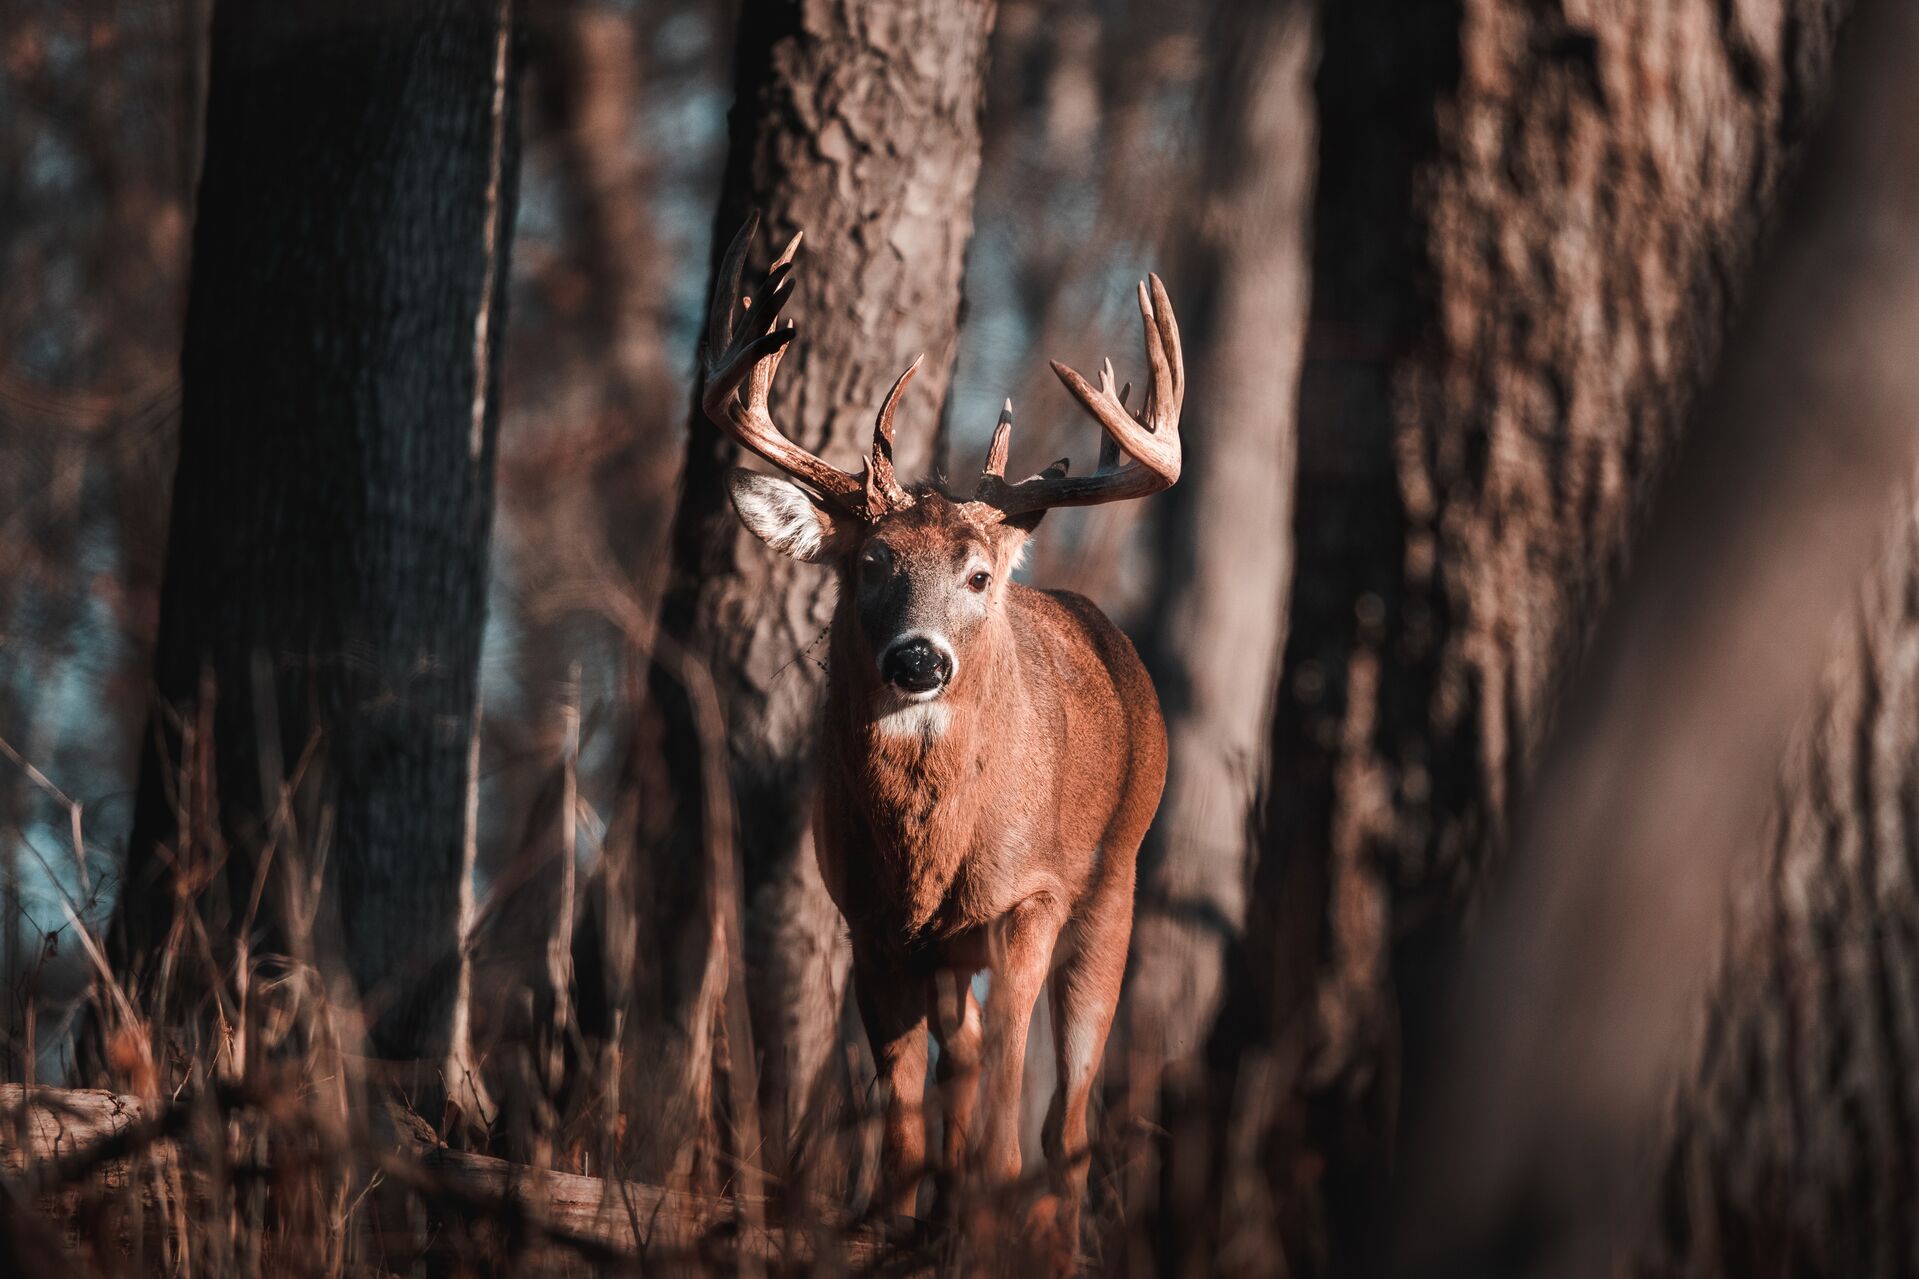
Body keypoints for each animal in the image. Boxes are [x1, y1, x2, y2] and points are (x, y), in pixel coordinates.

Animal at [698, 216, 1182, 1264]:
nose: (918, 658)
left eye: (976, 575)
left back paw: (1043, 1231)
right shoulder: (870, 923)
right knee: (960, 1058)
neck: (931, 852)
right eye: (871, 560)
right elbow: (905, 1102)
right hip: (951, 953)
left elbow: (1012, 1085)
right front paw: (887, 1220)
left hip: (1113, 886)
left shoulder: (1030, 896)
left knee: (1068, 1104)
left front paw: (992, 1221)